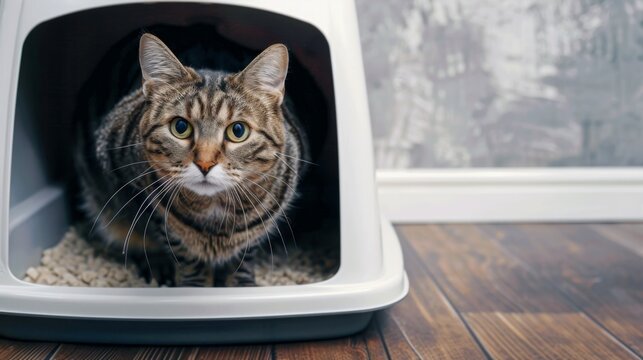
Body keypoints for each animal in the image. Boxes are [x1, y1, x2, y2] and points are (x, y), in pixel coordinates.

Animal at [76, 33, 306, 286]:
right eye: (180, 127)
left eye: (238, 130)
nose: (205, 164)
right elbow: (182, 251)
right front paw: (195, 283)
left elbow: (245, 254)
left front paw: (241, 283)